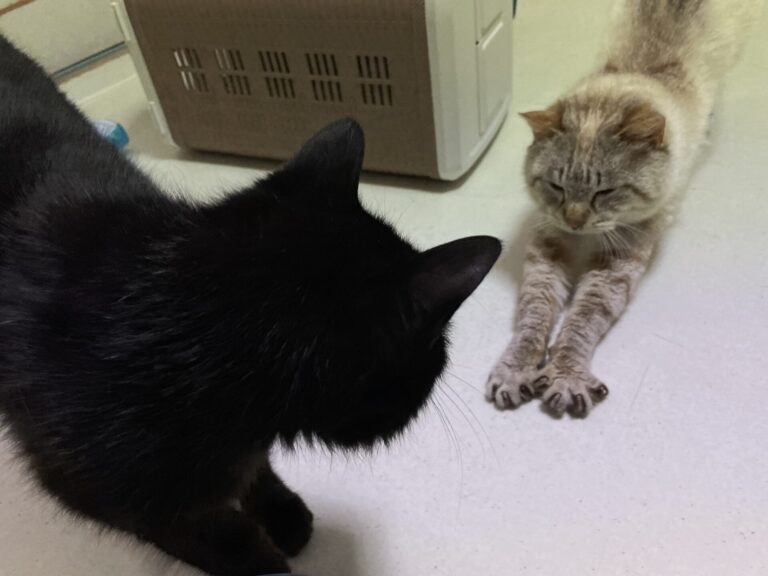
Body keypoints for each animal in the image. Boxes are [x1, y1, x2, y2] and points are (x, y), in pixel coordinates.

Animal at [0, 34, 501, 576]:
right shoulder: (110, 495)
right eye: (438, 351)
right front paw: (260, 555)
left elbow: (255, 466)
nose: (445, 359)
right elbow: (217, 537)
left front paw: (280, 511)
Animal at [487, 0, 762, 417]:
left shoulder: (617, 262)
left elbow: (581, 321)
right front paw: (516, 370)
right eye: (556, 186)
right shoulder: (549, 248)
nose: (574, 220)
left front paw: (565, 377)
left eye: (606, 191)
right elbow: (534, 315)